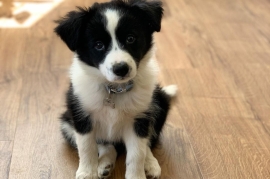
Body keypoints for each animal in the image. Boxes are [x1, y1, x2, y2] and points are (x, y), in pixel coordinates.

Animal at [54, 0, 177, 179]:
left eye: (131, 38)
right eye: (98, 45)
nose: (121, 69)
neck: (115, 90)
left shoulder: (139, 118)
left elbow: (137, 153)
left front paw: (137, 175)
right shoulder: (81, 115)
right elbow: (86, 147)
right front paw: (87, 172)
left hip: (159, 103)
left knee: (147, 142)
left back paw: (150, 164)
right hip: (66, 122)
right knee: (105, 144)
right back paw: (105, 164)